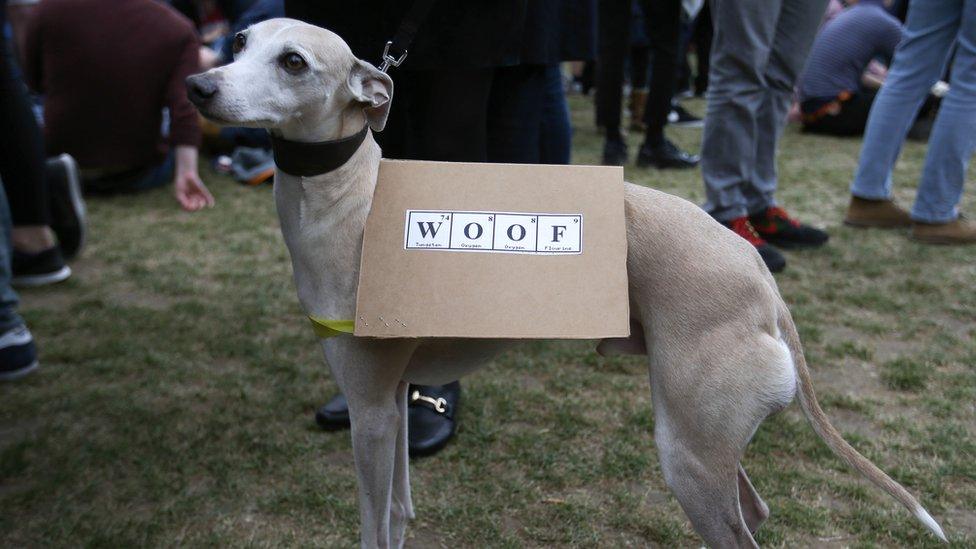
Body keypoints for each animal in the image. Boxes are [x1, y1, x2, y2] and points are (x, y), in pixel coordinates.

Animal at [187, 18, 948, 548]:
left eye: (294, 61)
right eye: (240, 39)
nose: (197, 87)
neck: (355, 198)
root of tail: (762, 278)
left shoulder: (371, 406)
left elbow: (376, 526)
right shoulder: (395, 399)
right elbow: (400, 512)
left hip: (688, 451)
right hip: (704, 447)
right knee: (753, 510)